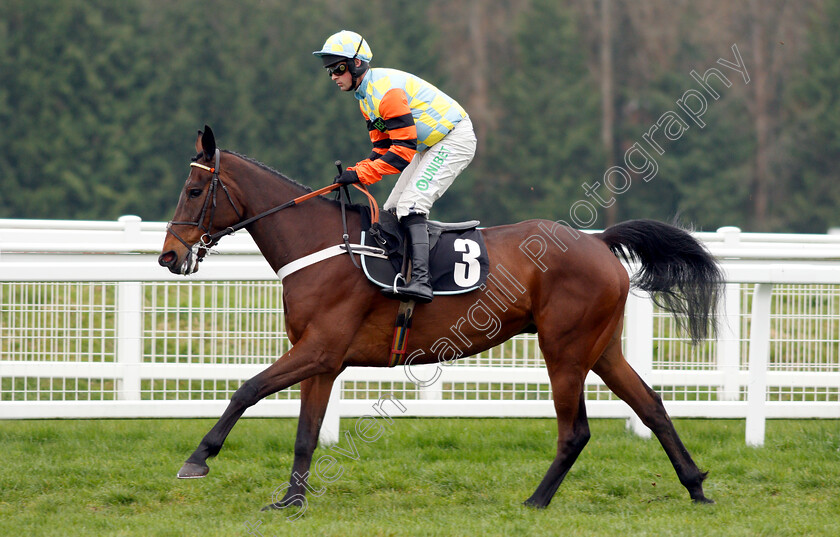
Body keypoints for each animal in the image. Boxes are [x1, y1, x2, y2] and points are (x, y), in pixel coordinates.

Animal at [159, 126, 720, 510]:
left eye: (193, 192)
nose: (168, 256)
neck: (323, 246)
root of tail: (599, 241)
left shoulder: (318, 348)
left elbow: (247, 389)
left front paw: (198, 458)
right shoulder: (323, 360)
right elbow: (305, 433)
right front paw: (290, 501)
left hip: (564, 348)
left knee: (576, 430)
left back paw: (536, 500)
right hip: (600, 347)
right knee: (650, 404)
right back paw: (695, 486)